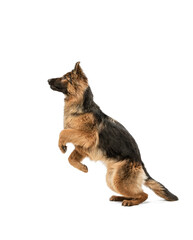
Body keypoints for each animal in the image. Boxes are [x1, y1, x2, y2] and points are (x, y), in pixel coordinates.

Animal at [47, 62, 178, 206]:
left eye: (65, 77)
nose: (48, 80)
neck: (82, 107)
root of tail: (141, 163)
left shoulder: (88, 137)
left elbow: (63, 132)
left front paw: (61, 145)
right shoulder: (82, 148)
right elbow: (70, 158)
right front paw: (83, 168)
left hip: (119, 182)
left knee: (144, 194)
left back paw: (130, 202)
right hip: (111, 180)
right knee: (134, 193)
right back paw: (119, 198)